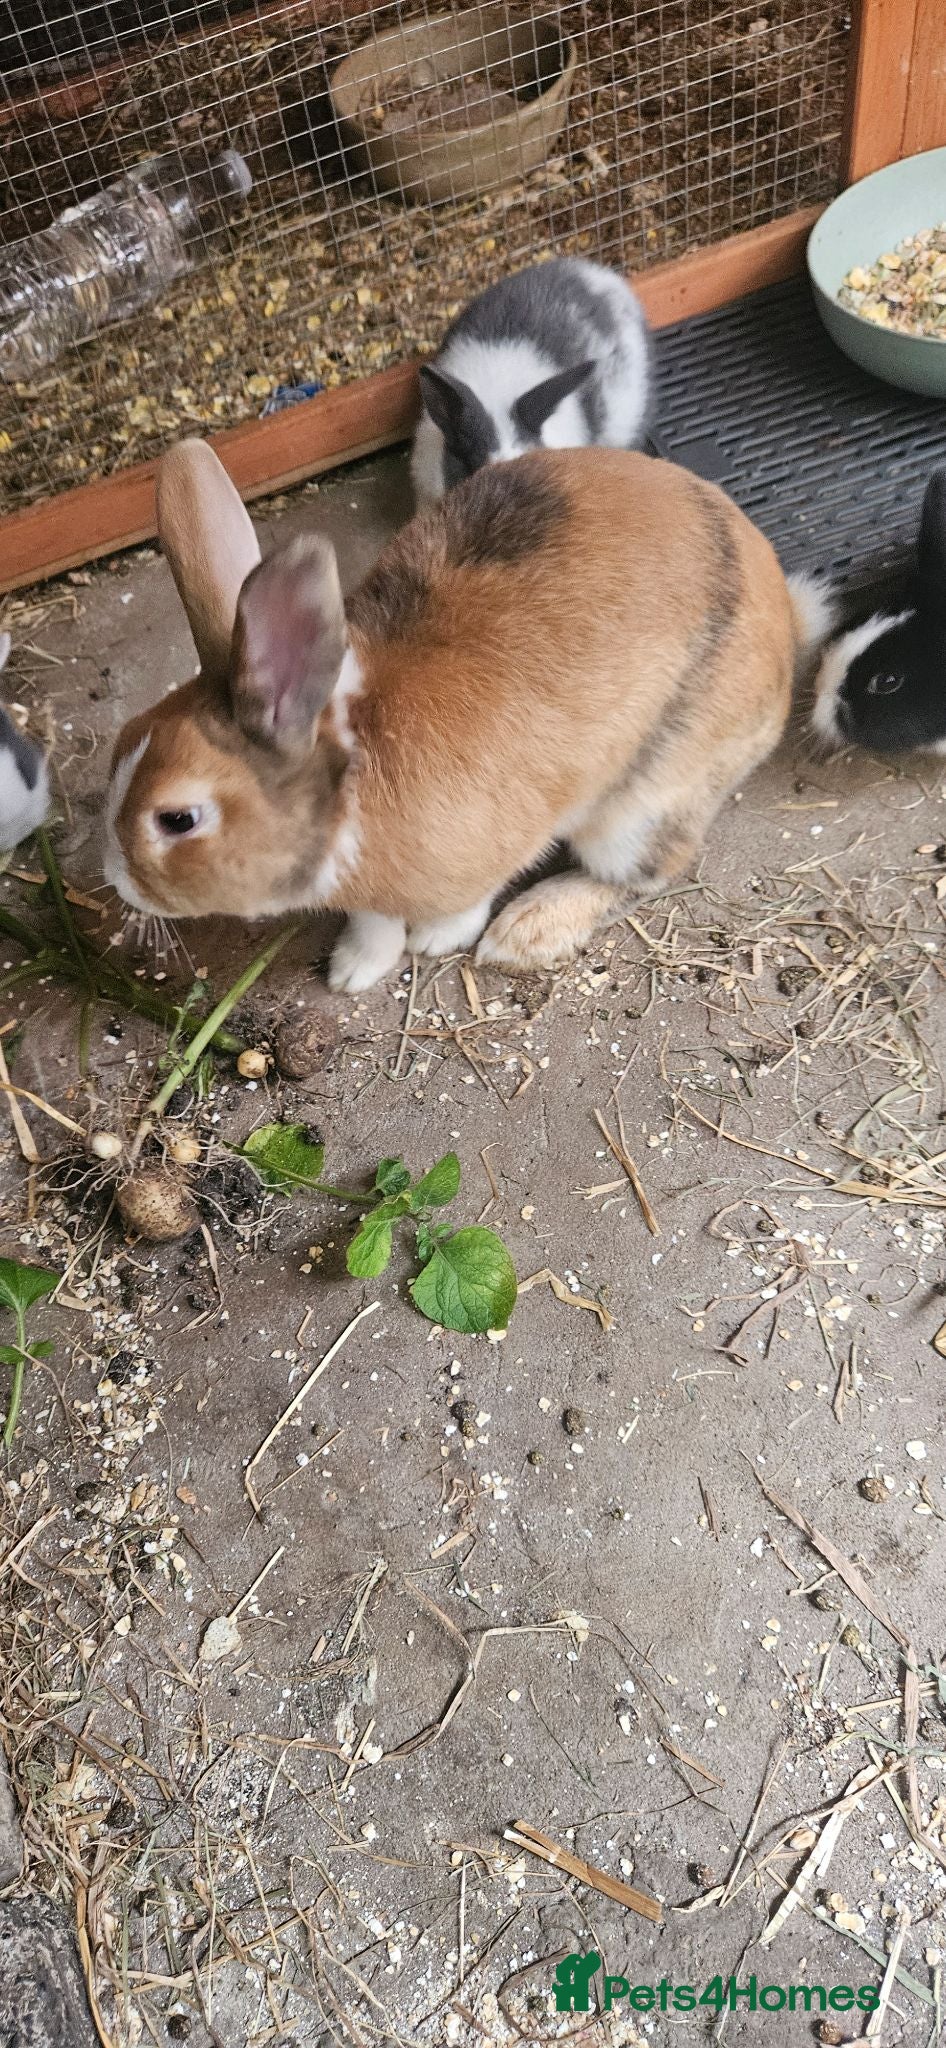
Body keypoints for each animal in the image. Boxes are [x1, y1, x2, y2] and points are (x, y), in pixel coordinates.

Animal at [103, 437, 830, 993]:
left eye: (176, 819)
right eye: (123, 742)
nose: (117, 882)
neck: (351, 771)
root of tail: (784, 618)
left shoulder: (504, 836)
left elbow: (468, 897)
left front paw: (436, 940)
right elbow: (374, 919)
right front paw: (355, 970)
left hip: (643, 807)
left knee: (649, 870)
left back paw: (527, 930)